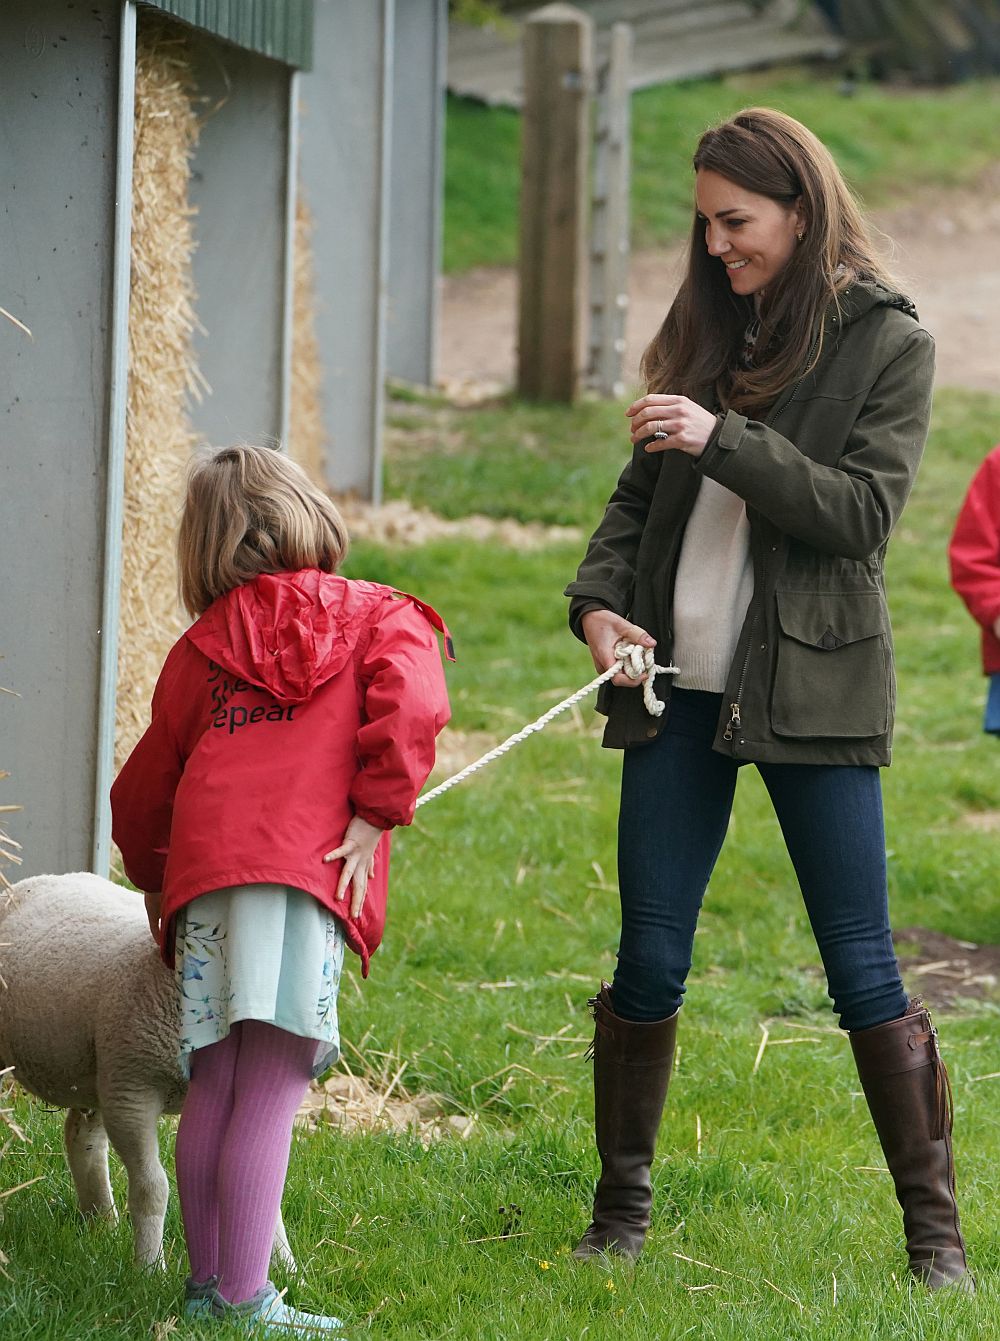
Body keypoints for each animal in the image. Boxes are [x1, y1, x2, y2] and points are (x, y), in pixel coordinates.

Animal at [0, 868, 292, 1265]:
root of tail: (44, 878)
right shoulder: (132, 1093)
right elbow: (152, 1188)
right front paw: (150, 1266)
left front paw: (288, 1267)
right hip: (114, 1071)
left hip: (98, 1070)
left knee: (82, 1138)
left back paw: (101, 1224)